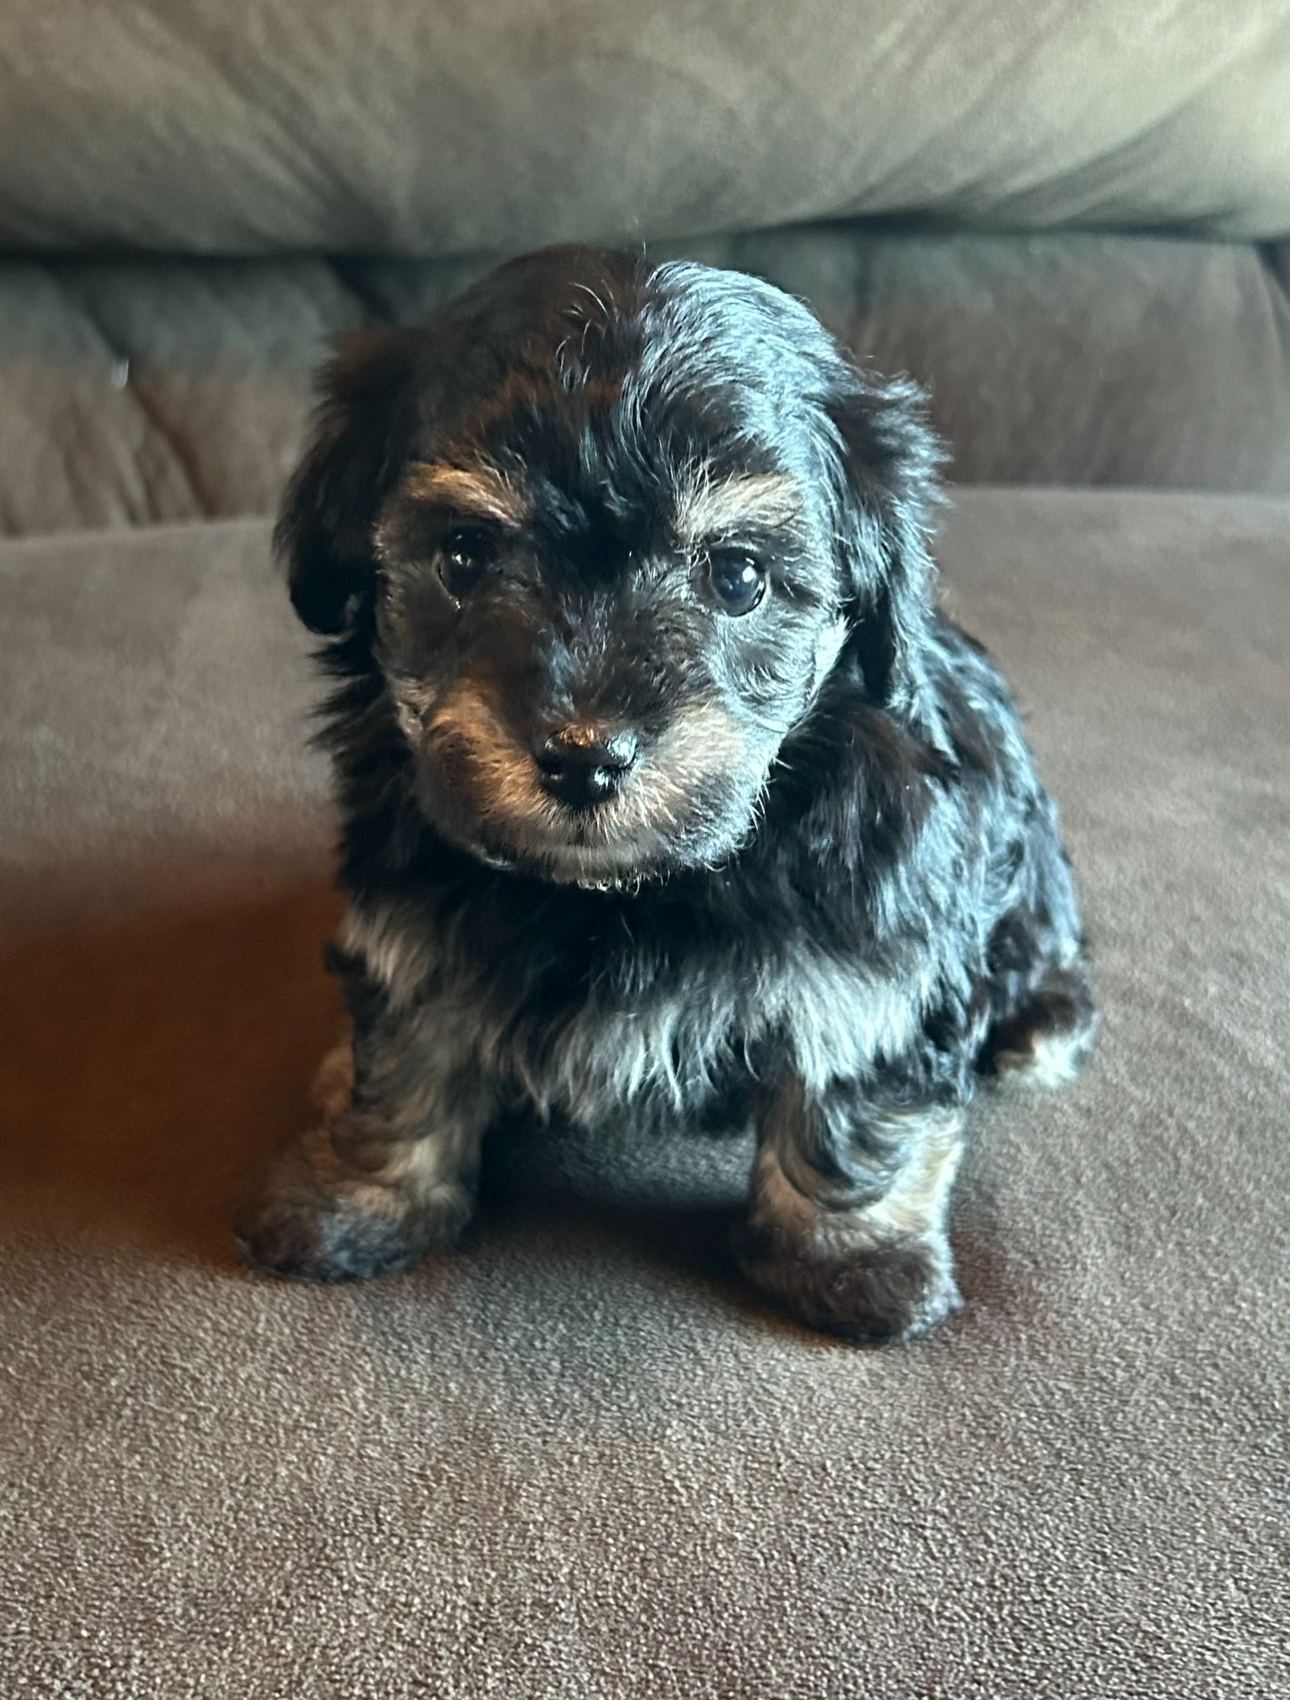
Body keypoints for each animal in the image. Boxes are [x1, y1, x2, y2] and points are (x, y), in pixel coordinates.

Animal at [234, 248, 1101, 1339]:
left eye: (738, 576)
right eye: (465, 554)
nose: (583, 755)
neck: (626, 892)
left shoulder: (877, 949)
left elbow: (854, 1077)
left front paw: (848, 1257)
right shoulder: (416, 915)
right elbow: (404, 1048)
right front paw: (357, 1197)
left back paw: (1036, 1026)